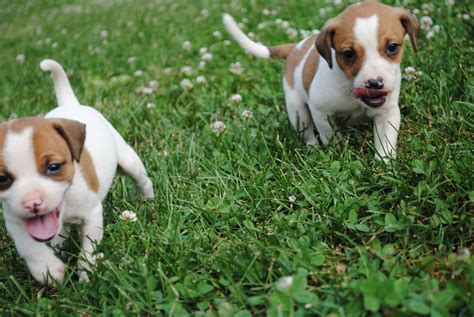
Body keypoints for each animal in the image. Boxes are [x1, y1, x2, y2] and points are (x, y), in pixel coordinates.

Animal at [0, 59, 154, 284]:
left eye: (53, 167)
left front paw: (85, 277)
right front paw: (47, 269)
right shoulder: (14, 221)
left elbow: (88, 250)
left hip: (128, 160)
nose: (32, 203)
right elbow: (28, 246)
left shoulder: (92, 215)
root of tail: (70, 104)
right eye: (3, 178)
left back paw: (148, 200)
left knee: (142, 179)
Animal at [224, 1, 420, 160]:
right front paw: (339, 154)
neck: (350, 89)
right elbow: (330, 136)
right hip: (297, 111)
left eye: (392, 47)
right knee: (307, 132)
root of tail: (294, 48)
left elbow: (386, 140)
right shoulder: (321, 112)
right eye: (348, 53)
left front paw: (384, 164)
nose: (374, 83)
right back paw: (312, 148)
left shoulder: (387, 112)